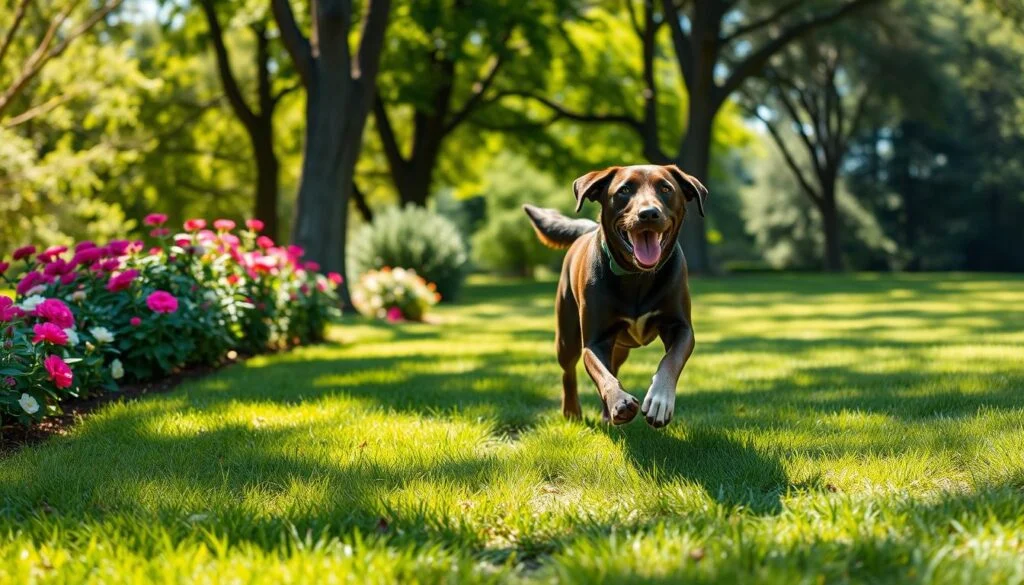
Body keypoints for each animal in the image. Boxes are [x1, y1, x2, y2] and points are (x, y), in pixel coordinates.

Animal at [524, 162, 708, 428]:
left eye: (666, 188)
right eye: (624, 190)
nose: (648, 213)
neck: (637, 275)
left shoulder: (681, 327)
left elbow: (670, 361)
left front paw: (660, 401)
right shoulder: (595, 341)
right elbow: (603, 375)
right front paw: (619, 400)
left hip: (620, 346)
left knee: (614, 365)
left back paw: (605, 414)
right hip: (567, 334)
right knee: (569, 370)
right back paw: (573, 411)